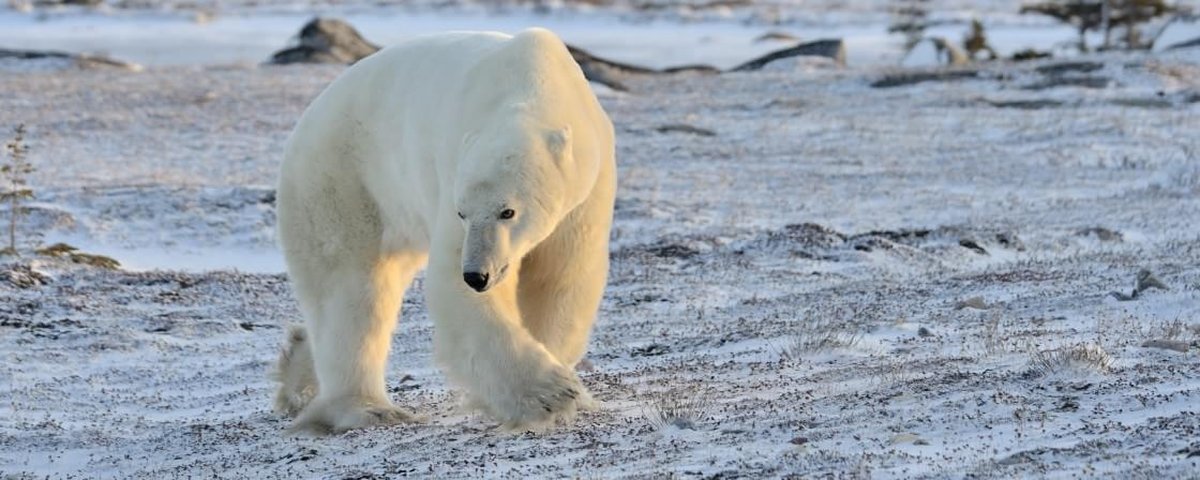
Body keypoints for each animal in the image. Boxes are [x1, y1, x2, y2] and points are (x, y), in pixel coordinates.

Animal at [268, 28, 614, 432]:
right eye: (462, 212)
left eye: (508, 211)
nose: (477, 275)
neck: (532, 79)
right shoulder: (452, 170)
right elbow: (453, 287)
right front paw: (550, 394)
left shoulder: (587, 187)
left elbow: (559, 275)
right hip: (343, 182)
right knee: (352, 293)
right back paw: (368, 408)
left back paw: (297, 372)